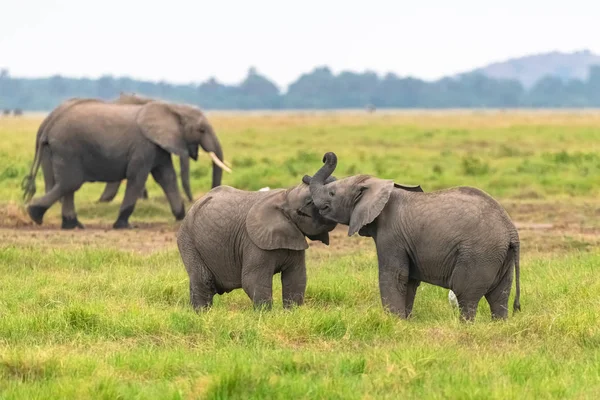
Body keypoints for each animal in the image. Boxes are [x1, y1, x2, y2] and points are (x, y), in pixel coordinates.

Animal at [21, 97, 230, 230]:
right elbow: (137, 178)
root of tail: (49, 124)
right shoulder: (143, 146)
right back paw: (35, 214)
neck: (172, 107)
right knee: (70, 183)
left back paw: (72, 225)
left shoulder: (157, 147)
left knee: (67, 185)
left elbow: (166, 177)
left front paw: (181, 217)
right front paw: (124, 225)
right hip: (68, 147)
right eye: (201, 130)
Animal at [177, 177, 338, 310]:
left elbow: (296, 278)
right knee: (204, 281)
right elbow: (253, 281)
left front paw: (292, 313)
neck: (284, 196)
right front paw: (265, 316)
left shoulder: (294, 239)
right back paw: (203, 315)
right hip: (187, 240)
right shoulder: (253, 242)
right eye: (309, 202)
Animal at [304, 152, 520, 322]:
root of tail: (511, 230)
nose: (326, 155)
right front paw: (405, 321)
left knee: (466, 295)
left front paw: (394, 322)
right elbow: (409, 280)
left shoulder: (391, 235)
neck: (378, 186)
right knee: (499, 296)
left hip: (479, 254)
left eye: (332, 194)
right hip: (500, 257)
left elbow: (394, 275)